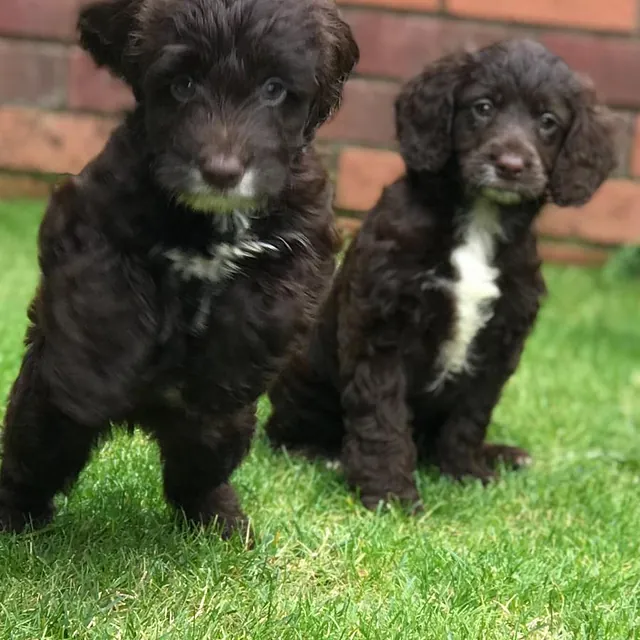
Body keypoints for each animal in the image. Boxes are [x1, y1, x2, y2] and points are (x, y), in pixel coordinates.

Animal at [264, 38, 616, 510]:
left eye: (548, 122)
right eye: (483, 107)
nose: (511, 165)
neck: (479, 220)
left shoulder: (499, 340)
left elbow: (470, 415)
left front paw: (465, 472)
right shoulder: (383, 327)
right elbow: (382, 418)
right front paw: (389, 493)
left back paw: (503, 454)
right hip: (303, 374)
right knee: (285, 429)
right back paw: (323, 455)